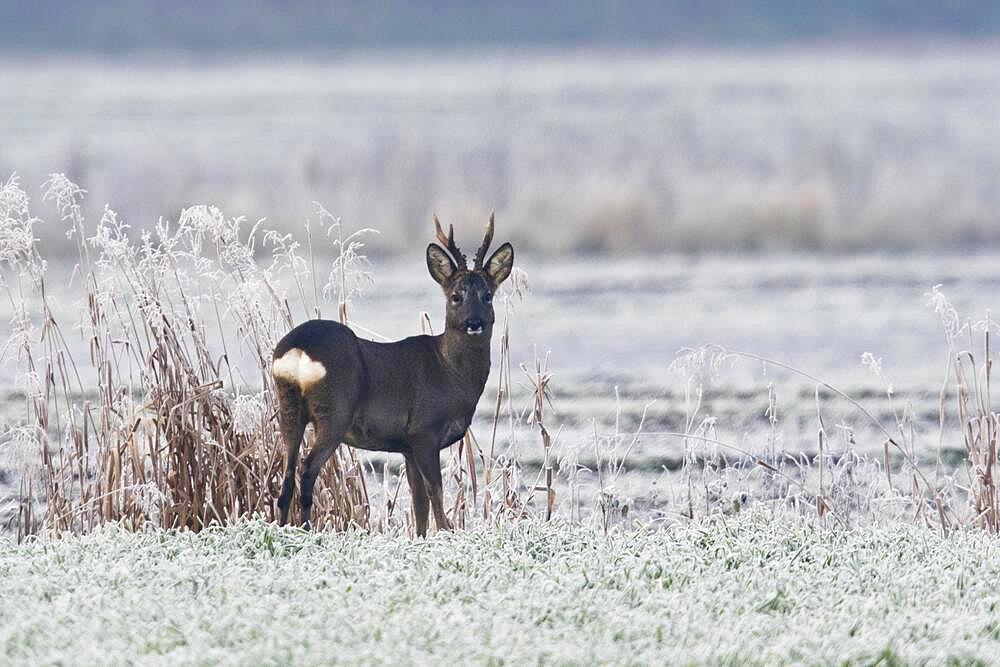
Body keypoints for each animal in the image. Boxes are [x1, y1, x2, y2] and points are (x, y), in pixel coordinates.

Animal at [270, 214, 512, 536]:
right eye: (455, 296)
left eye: (487, 296)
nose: (474, 323)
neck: (451, 373)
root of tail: (297, 349)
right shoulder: (424, 430)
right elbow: (435, 494)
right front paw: (444, 533)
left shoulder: (406, 447)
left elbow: (419, 503)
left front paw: (420, 538)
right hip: (334, 410)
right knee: (307, 470)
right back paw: (306, 530)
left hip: (288, 406)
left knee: (286, 477)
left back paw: (284, 529)